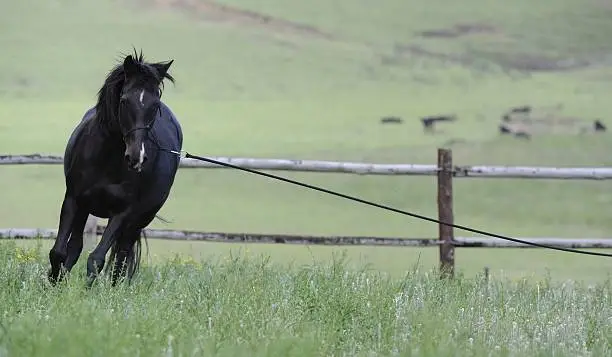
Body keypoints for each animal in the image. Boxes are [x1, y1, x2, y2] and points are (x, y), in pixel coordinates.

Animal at [48, 48, 183, 286]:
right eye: (124, 100)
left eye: (155, 105)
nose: (136, 157)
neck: (106, 159)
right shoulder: (73, 199)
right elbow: (59, 252)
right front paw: (52, 287)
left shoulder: (122, 213)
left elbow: (97, 259)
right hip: (86, 209)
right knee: (77, 247)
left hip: (139, 219)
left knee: (121, 257)